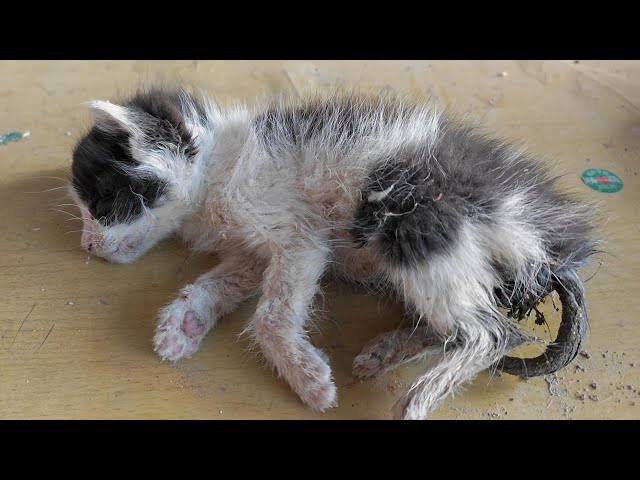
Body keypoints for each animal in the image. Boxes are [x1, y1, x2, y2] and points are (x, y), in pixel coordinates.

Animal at [70, 87, 600, 420]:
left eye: (102, 203)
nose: (87, 246)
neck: (219, 166)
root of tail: (548, 238)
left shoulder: (297, 235)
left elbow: (271, 314)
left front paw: (307, 379)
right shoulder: (255, 250)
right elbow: (224, 280)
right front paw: (185, 321)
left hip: (414, 220)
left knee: (496, 333)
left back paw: (417, 398)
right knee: (476, 327)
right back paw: (387, 352)